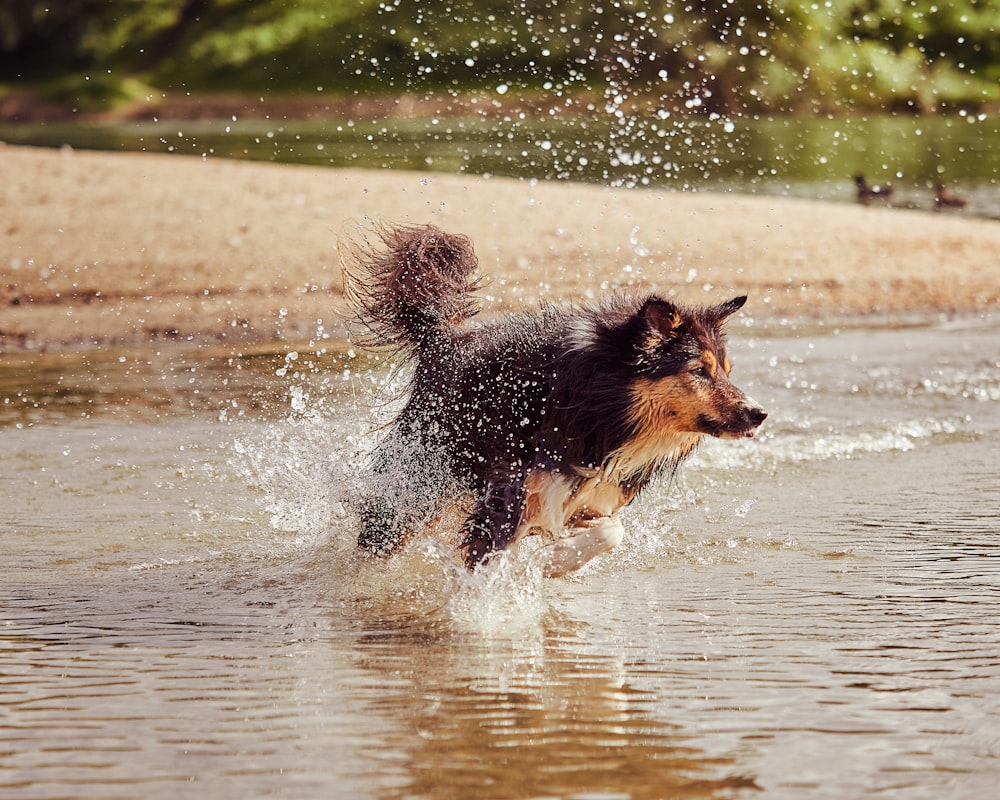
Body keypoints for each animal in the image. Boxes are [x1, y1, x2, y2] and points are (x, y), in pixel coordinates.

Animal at [342, 222, 764, 580]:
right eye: (699, 371)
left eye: (727, 370)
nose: (758, 414)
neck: (603, 405)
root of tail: (443, 340)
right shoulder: (511, 491)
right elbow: (490, 559)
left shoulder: (594, 498)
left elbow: (612, 532)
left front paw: (552, 563)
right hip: (419, 481)